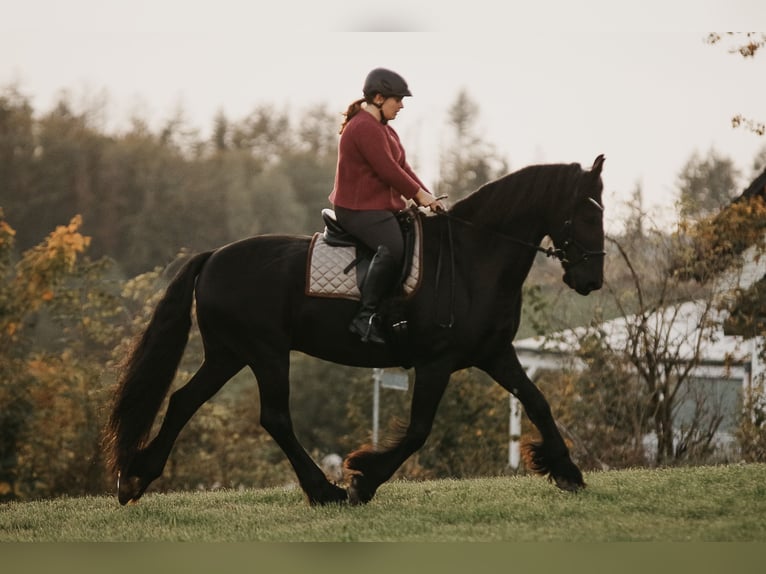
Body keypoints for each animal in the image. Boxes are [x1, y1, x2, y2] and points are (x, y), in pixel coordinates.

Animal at [104, 154, 606, 506]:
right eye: (589, 214)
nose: (592, 281)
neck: (471, 259)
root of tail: (213, 257)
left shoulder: (495, 353)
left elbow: (537, 401)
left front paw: (567, 470)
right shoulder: (436, 361)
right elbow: (419, 429)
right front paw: (364, 480)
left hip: (229, 354)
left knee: (183, 401)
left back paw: (136, 476)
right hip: (265, 352)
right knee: (275, 417)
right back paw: (323, 491)